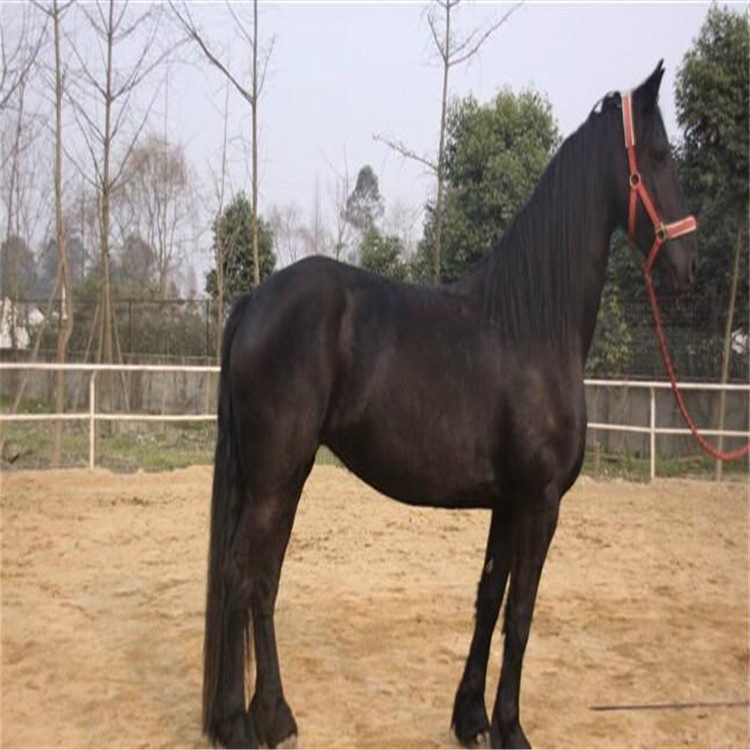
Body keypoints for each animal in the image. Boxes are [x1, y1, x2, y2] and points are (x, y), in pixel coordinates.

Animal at [202, 61, 698, 749]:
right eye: (658, 156)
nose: (688, 264)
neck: (530, 324)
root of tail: (254, 300)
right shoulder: (541, 503)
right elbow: (522, 613)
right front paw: (512, 728)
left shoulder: (508, 503)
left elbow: (489, 600)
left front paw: (472, 719)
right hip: (276, 480)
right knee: (238, 577)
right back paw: (238, 725)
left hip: (284, 478)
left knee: (263, 582)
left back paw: (273, 717)